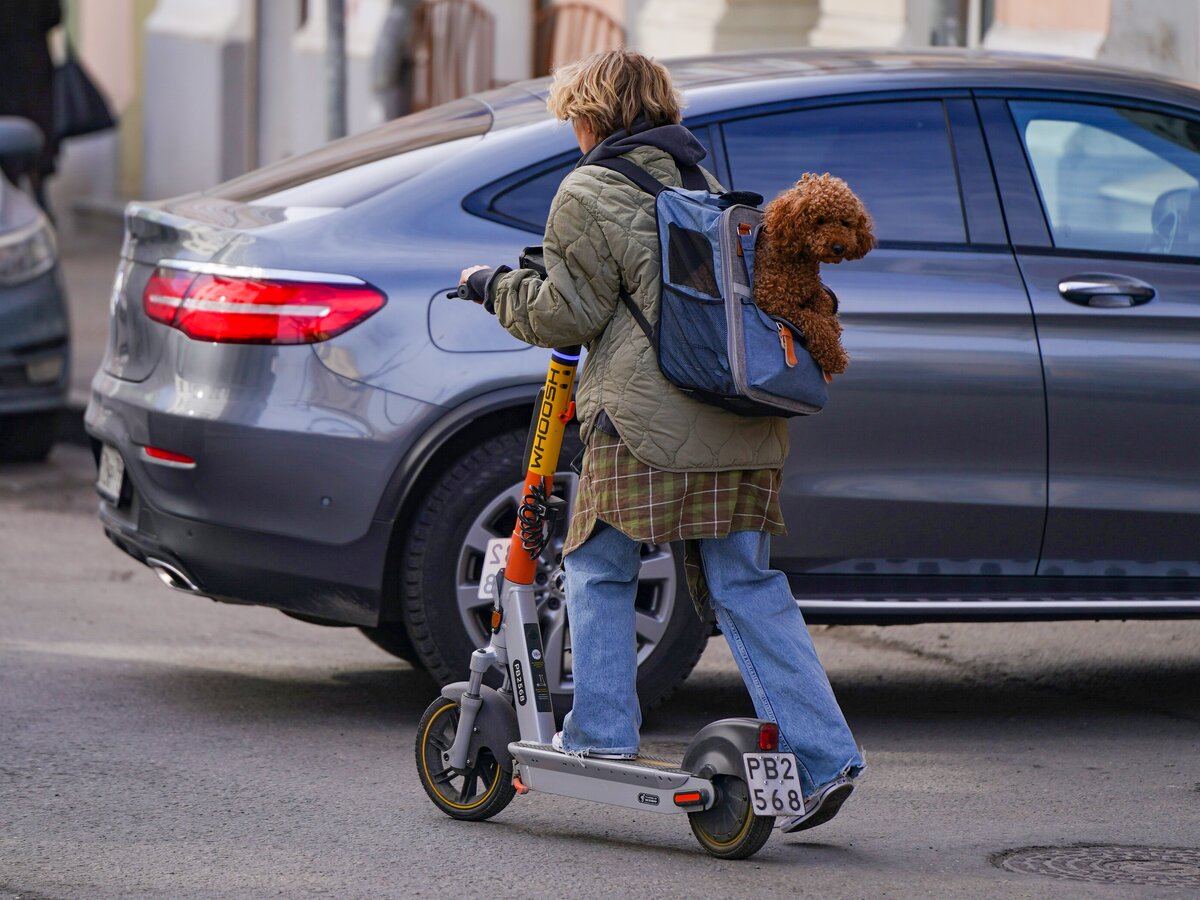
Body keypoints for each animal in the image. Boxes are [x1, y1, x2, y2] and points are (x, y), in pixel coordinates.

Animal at [753, 172, 878, 376]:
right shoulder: (772, 300)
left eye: (844, 223)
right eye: (819, 220)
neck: (797, 261)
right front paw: (834, 355)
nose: (838, 247)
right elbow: (813, 320)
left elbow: (825, 305)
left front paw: (833, 325)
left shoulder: (814, 290)